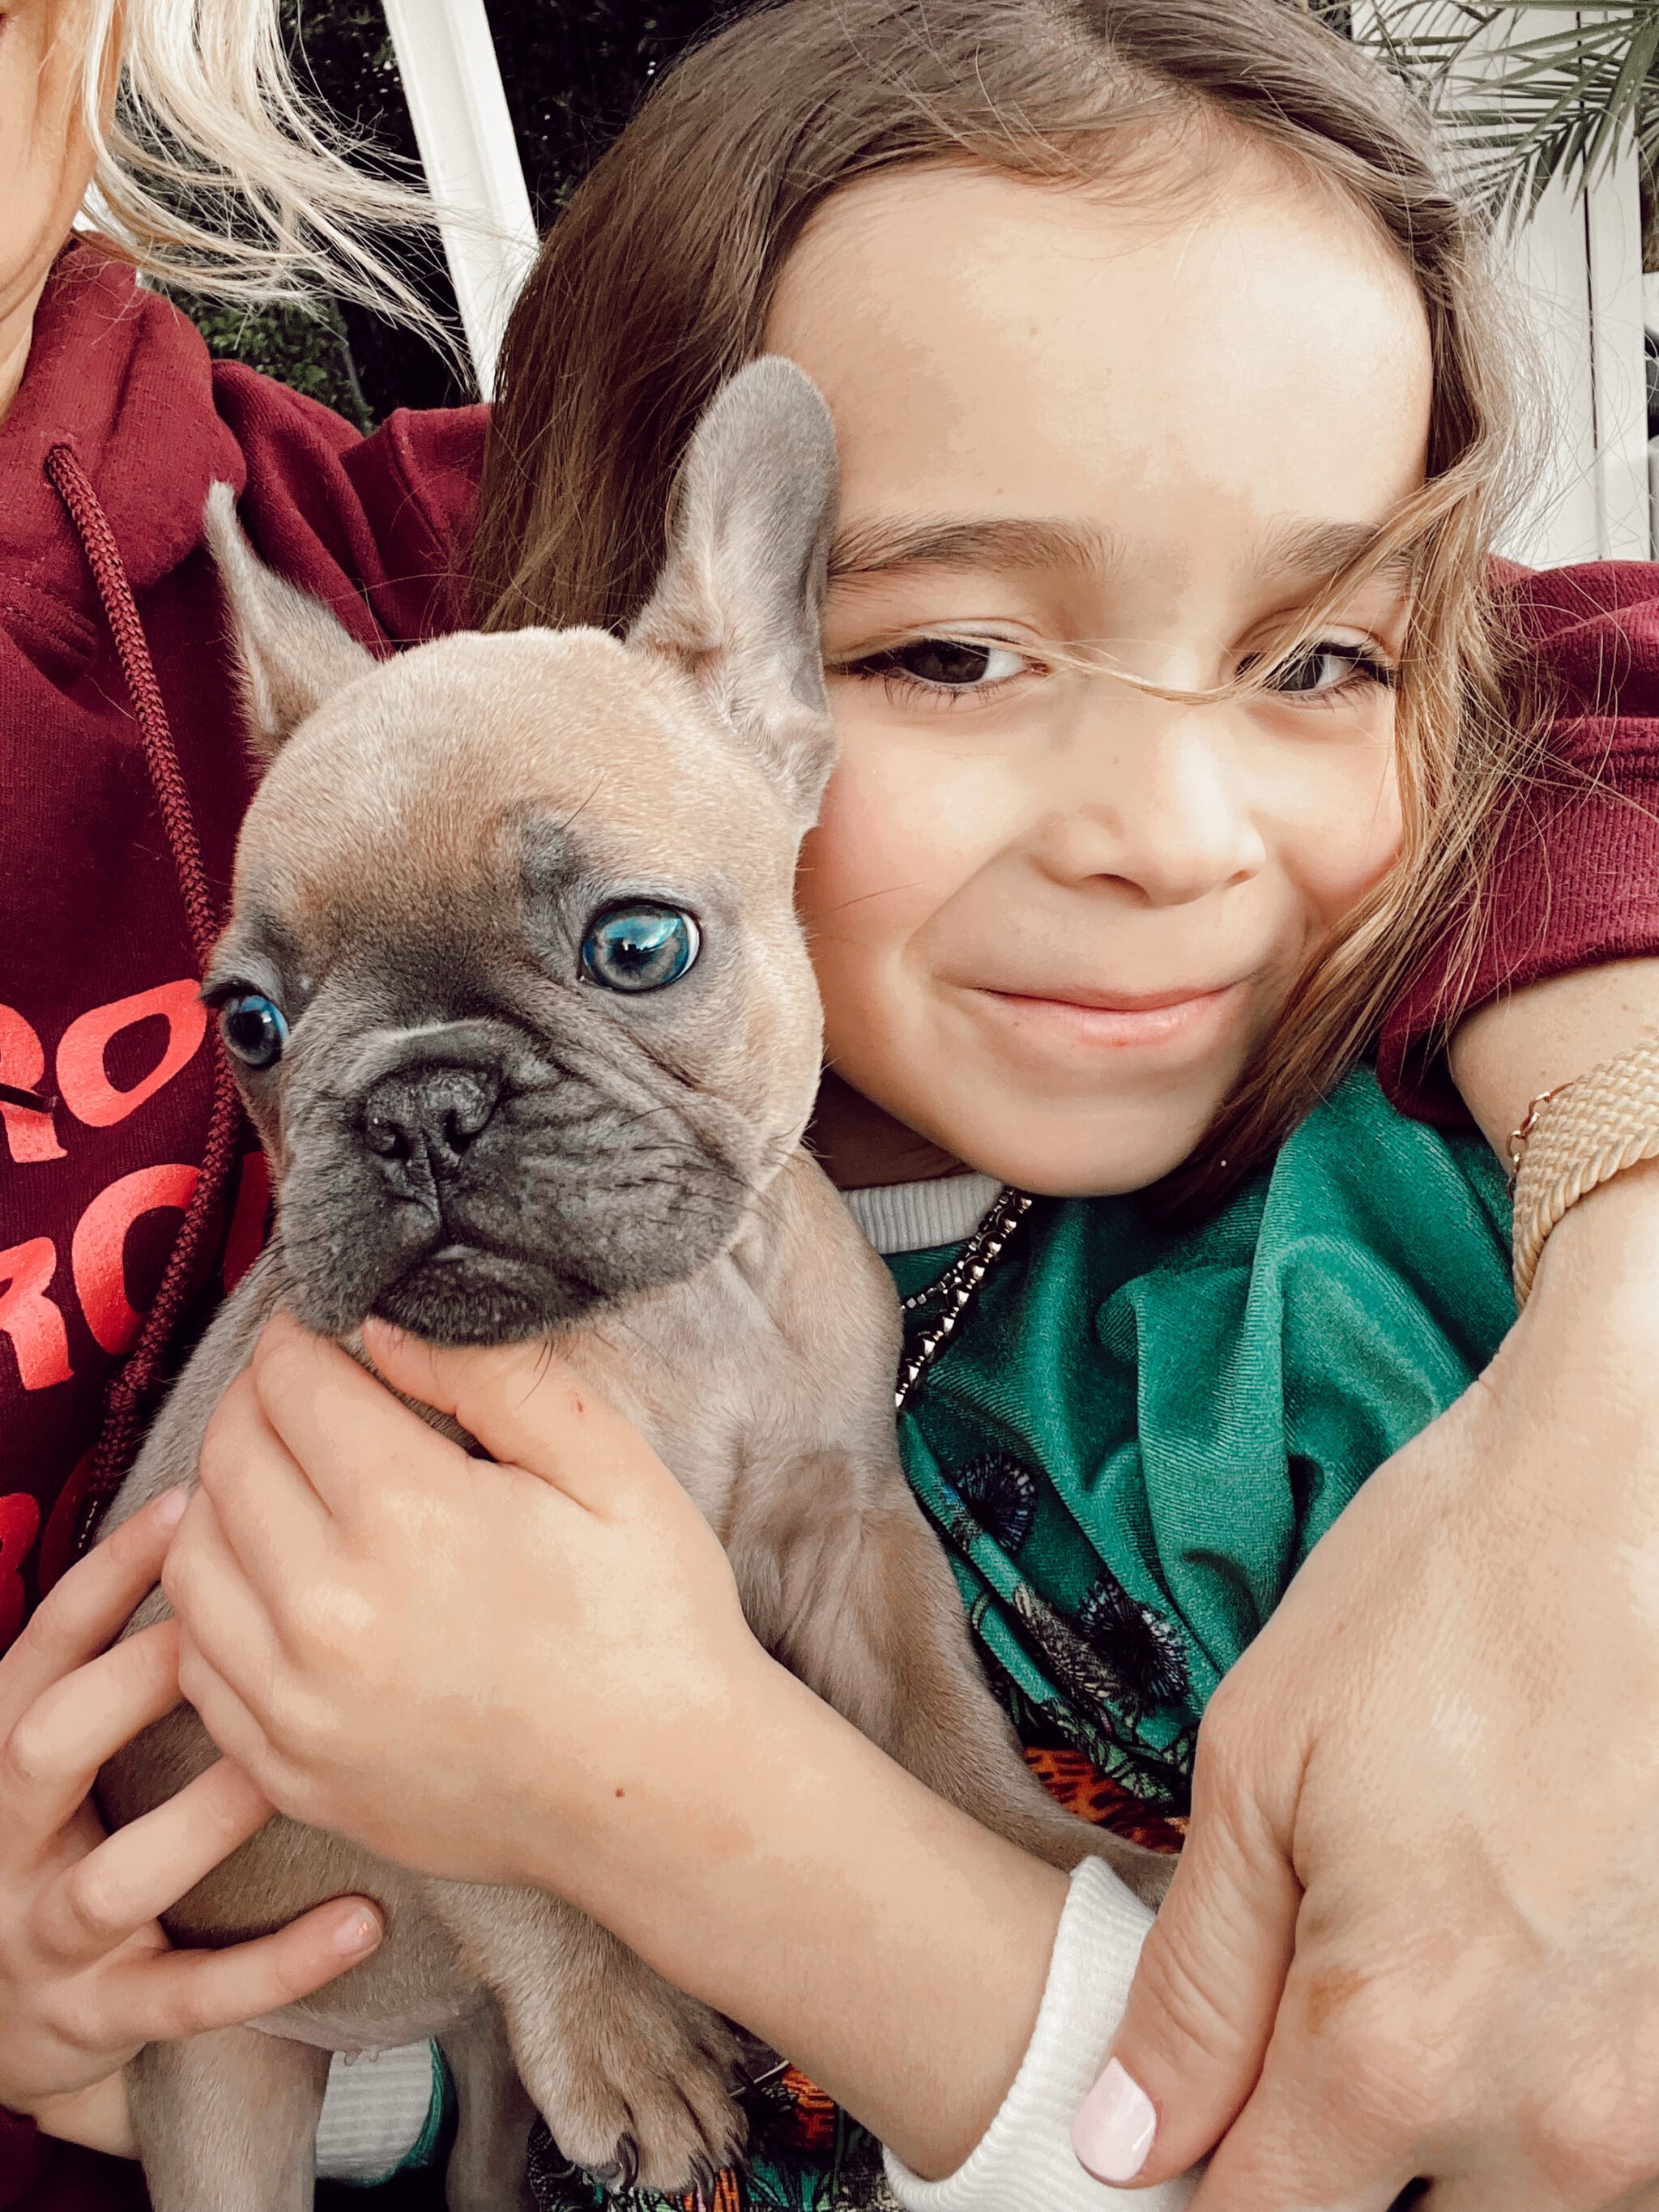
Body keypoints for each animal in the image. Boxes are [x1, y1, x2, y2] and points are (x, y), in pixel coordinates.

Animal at [100, 362, 1167, 2212]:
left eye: (638, 945)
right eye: (249, 1022)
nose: (414, 1103)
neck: (662, 1326)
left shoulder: (856, 1545)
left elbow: (940, 1724)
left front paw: (1041, 1851)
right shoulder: (306, 1663)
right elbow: (491, 1840)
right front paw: (617, 2029)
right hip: (220, 2085)